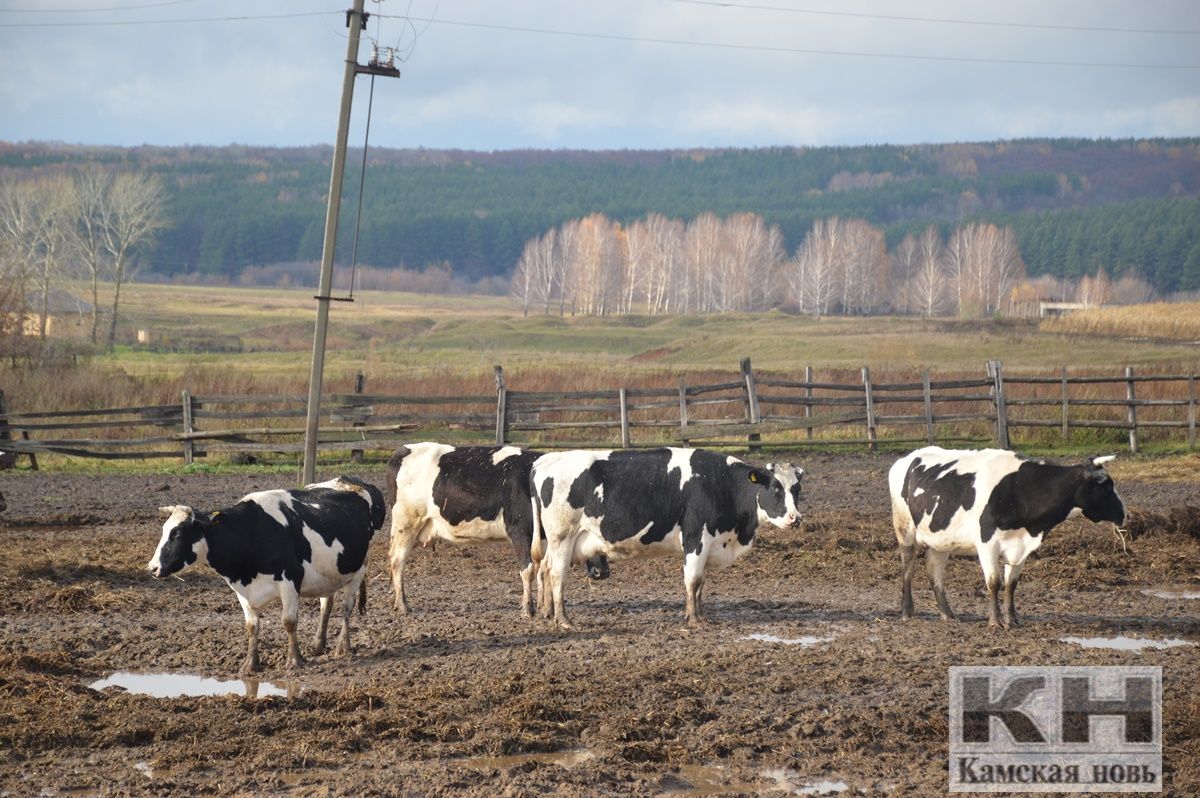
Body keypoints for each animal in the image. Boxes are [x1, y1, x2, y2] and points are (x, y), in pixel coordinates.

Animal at [146, 475, 384, 667]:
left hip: (360, 568)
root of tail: (351, 481)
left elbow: (289, 622)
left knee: (346, 607)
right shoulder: (242, 591)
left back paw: (343, 647)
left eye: (177, 533)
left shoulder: (290, 580)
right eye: (164, 530)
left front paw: (294, 661)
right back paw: (318, 644)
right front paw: (250, 664)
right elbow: (252, 626)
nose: (152, 567)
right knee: (327, 605)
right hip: (330, 572)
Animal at [384, 441, 609, 614]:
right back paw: (402, 605)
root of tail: (403, 450)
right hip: (406, 525)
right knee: (397, 562)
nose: (603, 572)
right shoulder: (520, 532)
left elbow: (542, 570)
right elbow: (528, 570)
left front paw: (544, 607)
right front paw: (528, 608)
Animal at [528, 444, 801, 624]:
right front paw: (694, 620)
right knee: (557, 575)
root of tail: (544, 461)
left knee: (545, 569)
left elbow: (700, 582)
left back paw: (548, 612)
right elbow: (692, 580)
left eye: (796, 489)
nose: (795, 518)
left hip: (556, 542)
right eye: (775, 489)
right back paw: (563, 620)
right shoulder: (696, 538)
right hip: (562, 537)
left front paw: (699, 615)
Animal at [888, 444, 1128, 624]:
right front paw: (996, 621)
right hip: (905, 528)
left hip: (941, 538)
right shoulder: (987, 544)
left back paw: (947, 614)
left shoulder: (1019, 546)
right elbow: (994, 582)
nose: (1124, 514)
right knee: (907, 567)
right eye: (1104, 485)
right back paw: (907, 611)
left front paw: (1012, 619)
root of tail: (905, 458)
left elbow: (1011, 584)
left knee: (933, 570)